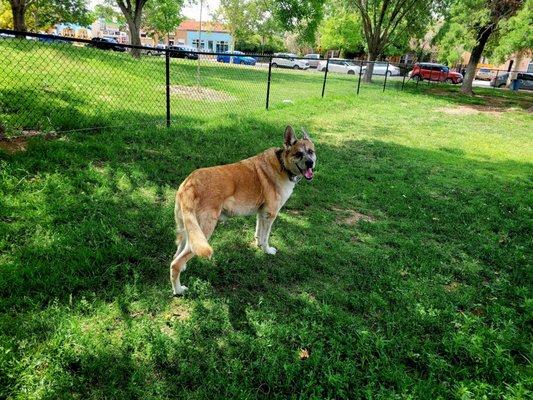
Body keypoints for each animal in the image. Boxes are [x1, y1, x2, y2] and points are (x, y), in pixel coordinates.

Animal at [169, 126, 316, 296]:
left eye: (311, 151)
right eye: (298, 154)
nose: (310, 163)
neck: (282, 164)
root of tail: (189, 184)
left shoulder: (262, 213)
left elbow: (259, 232)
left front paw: (258, 245)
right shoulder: (271, 214)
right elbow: (266, 237)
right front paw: (267, 250)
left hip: (189, 231)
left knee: (177, 253)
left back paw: (182, 270)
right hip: (204, 231)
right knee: (175, 264)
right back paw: (178, 290)